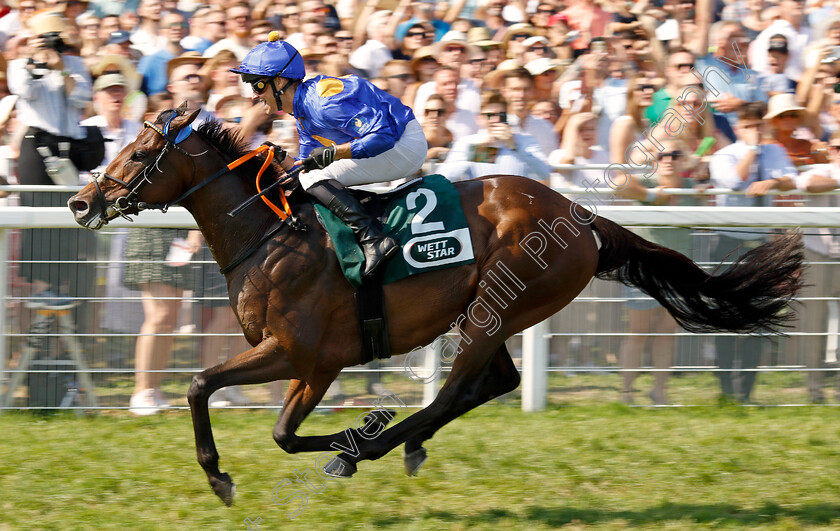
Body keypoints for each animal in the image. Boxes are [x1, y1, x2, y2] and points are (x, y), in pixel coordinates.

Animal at [69, 107, 804, 508]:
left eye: (141, 152)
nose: (80, 201)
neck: (270, 235)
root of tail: (581, 216)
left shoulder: (311, 357)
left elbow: (255, 417)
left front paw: (326, 446)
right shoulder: (291, 356)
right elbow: (206, 389)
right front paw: (224, 472)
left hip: (498, 306)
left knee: (457, 390)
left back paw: (381, 442)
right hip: (495, 311)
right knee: (494, 381)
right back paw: (404, 441)